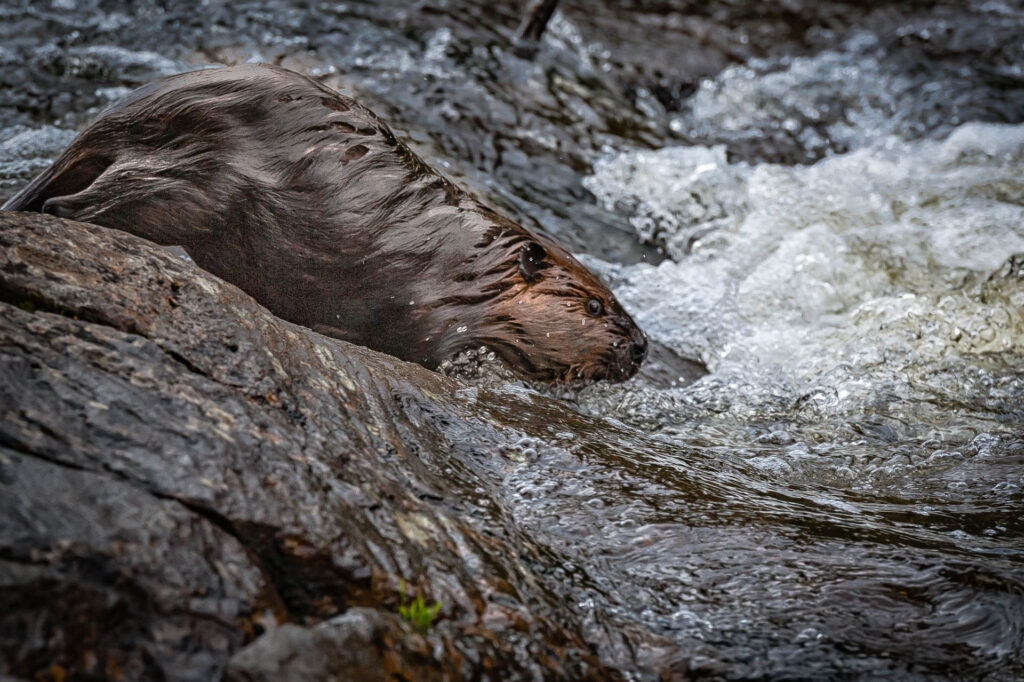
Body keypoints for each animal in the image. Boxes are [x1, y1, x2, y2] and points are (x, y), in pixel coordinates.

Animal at [6, 63, 647, 382]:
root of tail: (108, 123)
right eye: (595, 306)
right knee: (79, 207)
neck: (470, 263)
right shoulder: (429, 305)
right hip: (195, 185)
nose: (641, 348)